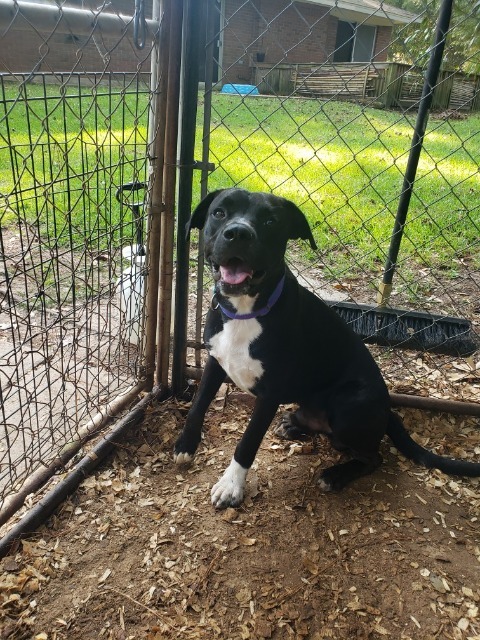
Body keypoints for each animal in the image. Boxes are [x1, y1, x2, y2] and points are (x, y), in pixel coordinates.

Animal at [173, 188, 480, 508]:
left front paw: (231, 484)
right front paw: (186, 444)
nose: (238, 233)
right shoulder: (214, 360)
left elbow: (247, 443)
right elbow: (198, 404)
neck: (245, 312)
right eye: (219, 212)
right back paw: (294, 425)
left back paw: (335, 475)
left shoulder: (269, 395)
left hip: (349, 404)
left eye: (271, 221)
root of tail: (388, 412)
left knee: (374, 458)